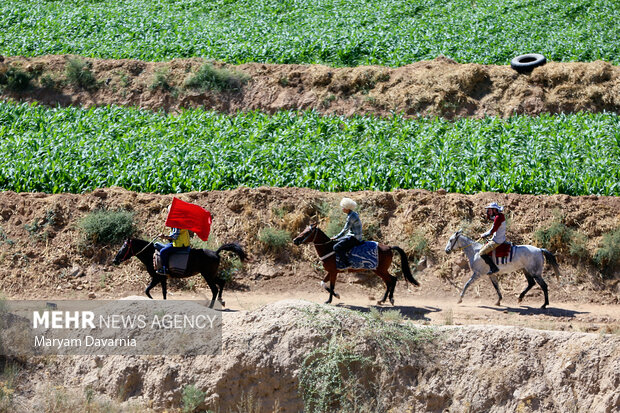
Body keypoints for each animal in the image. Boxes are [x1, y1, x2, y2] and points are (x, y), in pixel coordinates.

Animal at [112, 238, 246, 306]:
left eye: (124, 247)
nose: (114, 260)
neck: (151, 255)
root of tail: (216, 252)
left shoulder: (156, 277)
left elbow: (147, 291)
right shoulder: (162, 278)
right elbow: (163, 293)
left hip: (207, 275)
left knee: (214, 289)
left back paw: (211, 306)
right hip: (211, 275)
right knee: (222, 283)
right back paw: (221, 300)